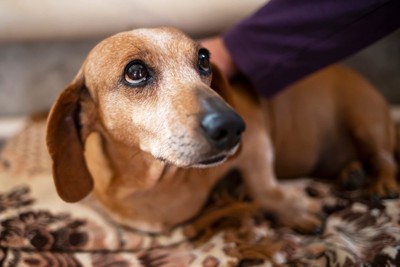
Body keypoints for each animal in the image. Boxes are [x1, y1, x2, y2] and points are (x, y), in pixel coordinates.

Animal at [46, 27, 396, 234]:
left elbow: (264, 187)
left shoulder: (257, 144)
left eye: (204, 59)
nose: (232, 125)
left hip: (365, 120)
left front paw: (293, 210)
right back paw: (351, 172)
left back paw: (381, 180)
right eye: (135, 71)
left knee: (383, 156)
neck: (155, 180)